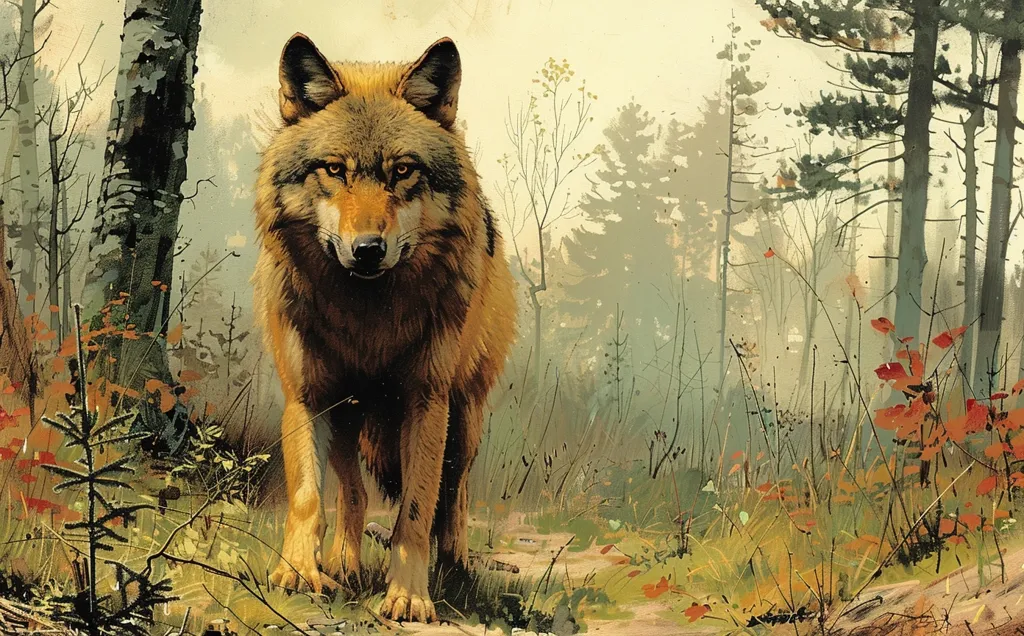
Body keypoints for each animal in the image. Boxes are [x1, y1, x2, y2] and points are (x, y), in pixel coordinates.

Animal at [251, 33, 516, 622]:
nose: (368, 249)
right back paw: (343, 564)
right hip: (350, 414)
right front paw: (297, 572)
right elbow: (308, 496)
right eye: (334, 170)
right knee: (351, 493)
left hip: (465, 417)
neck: (367, 320)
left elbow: (416, 511)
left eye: (402, 171)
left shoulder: (426, 402)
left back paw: (456, 571)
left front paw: (409, 596)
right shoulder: (307, 396)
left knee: (454, 496)